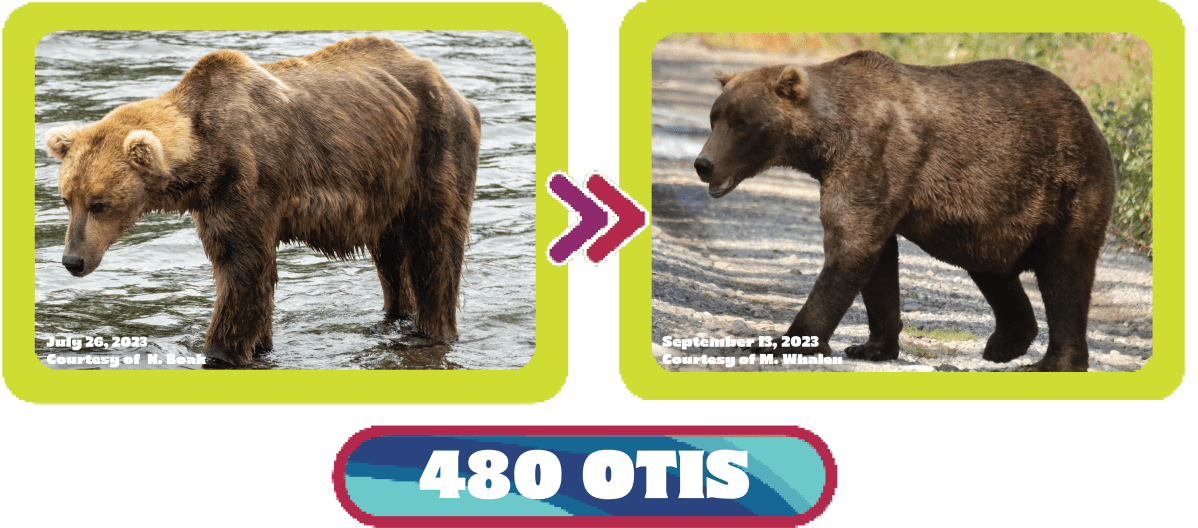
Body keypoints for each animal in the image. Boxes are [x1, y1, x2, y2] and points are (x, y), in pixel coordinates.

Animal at [44, 36, 481, 366]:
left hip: (434, 150)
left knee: (435, 249)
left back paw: (432, 331)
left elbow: (243, 270)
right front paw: (259, 344)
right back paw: (391, 319)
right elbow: (245, 273)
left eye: (100, 203)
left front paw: (220, 350)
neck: (204, 157)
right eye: (67, 199)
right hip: (388, 187)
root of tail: (450, 85)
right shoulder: (213, 200)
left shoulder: (249, 179)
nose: (72, 260)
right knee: (390, 256)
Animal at [694, 50, 1116, 372]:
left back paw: (1054, 361)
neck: (827, 140)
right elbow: (878, 261)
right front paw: (871, 347)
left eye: (742, 123)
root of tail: (1090, 119)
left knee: (1065, 274)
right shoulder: (874, 181)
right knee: (993, 271)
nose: (703, 164)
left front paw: (784, 341)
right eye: (715, 118)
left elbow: (850, 246)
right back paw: (1005, 343)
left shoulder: (872, 156)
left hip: (1064, 190)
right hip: (991, 220)